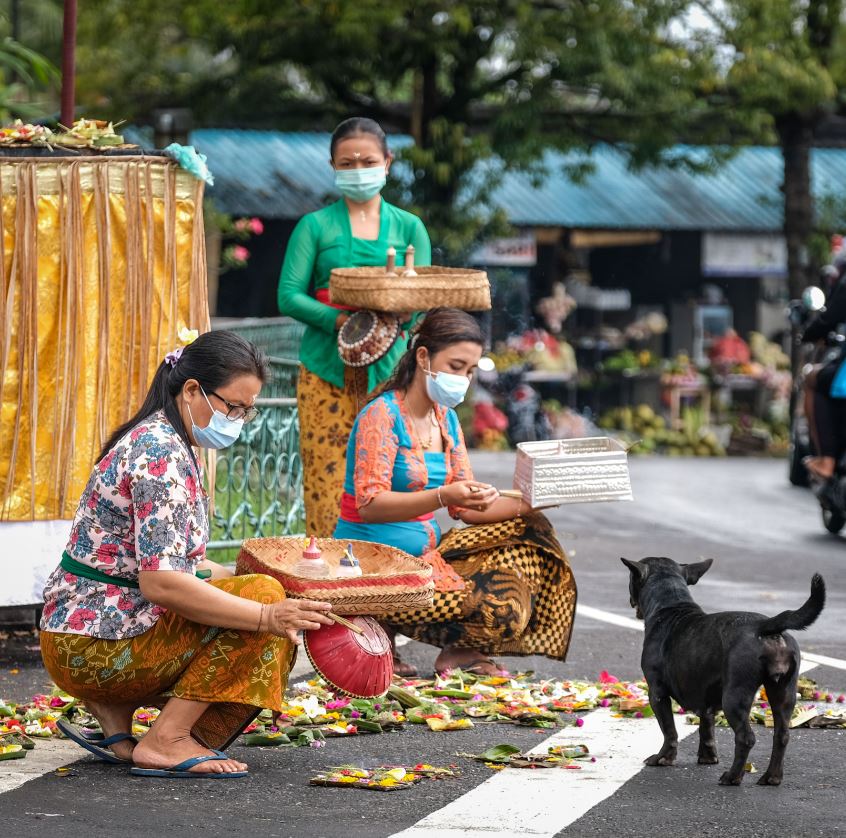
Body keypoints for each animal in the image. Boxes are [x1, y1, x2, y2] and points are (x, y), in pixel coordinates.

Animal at [624, 556, 828, 788]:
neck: (671, 606)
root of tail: (766, 626)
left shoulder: (657, 693)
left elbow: (669, 730)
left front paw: (663, 758)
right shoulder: (706, 697)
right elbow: (706, 727)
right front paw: (708, 757)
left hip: (734, 697)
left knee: (745, 738)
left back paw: (733, 776)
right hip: (783, 692)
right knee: (782, 735)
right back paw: (771, 777)